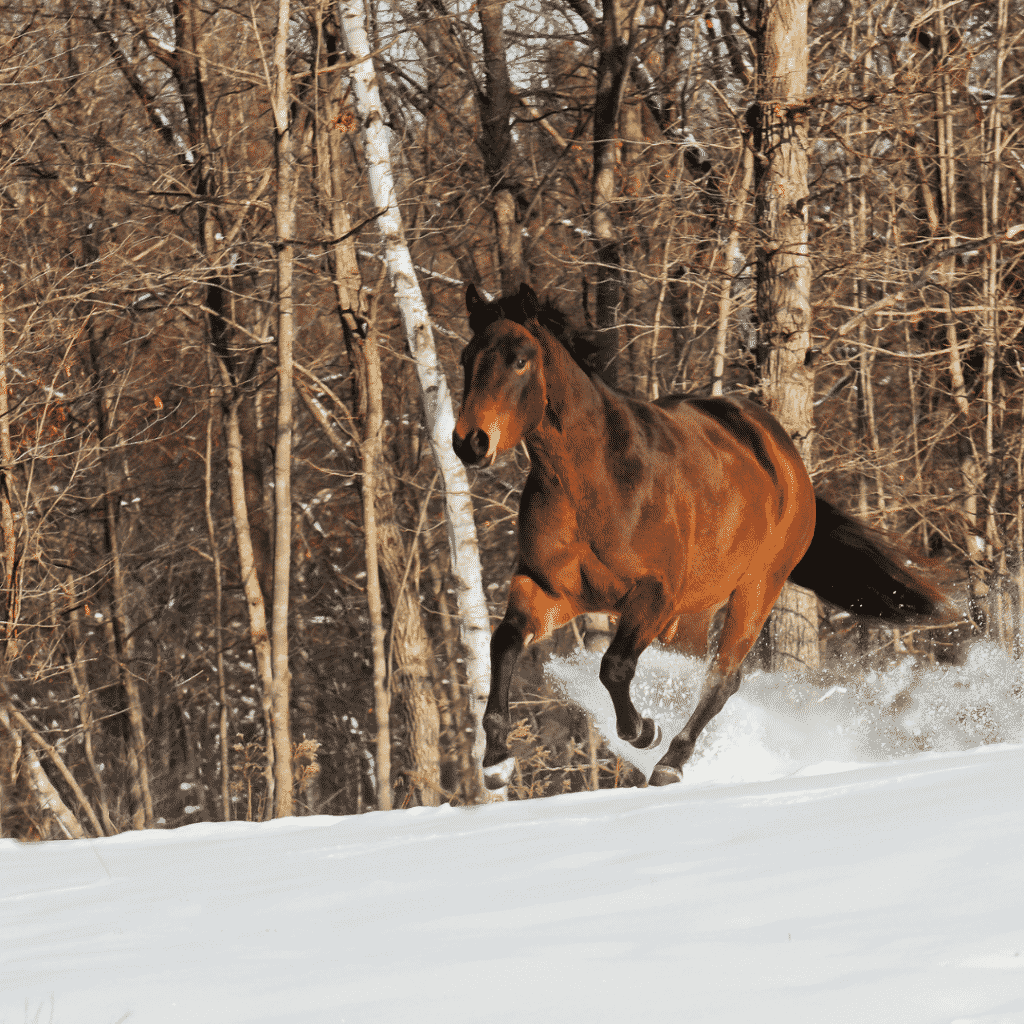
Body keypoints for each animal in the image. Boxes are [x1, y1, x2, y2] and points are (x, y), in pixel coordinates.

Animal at [452, 284, 946, 786]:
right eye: (466, 357)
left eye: (520, 360)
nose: (470, 442)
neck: (595, 483)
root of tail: (784, 453)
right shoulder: (547, 588)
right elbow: (504, 642)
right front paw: (496, 760)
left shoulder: (655, 594)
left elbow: (615, 667)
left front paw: (643, 731)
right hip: (694, 612)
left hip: (757, 587)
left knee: (722, 677)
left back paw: (671, 760)